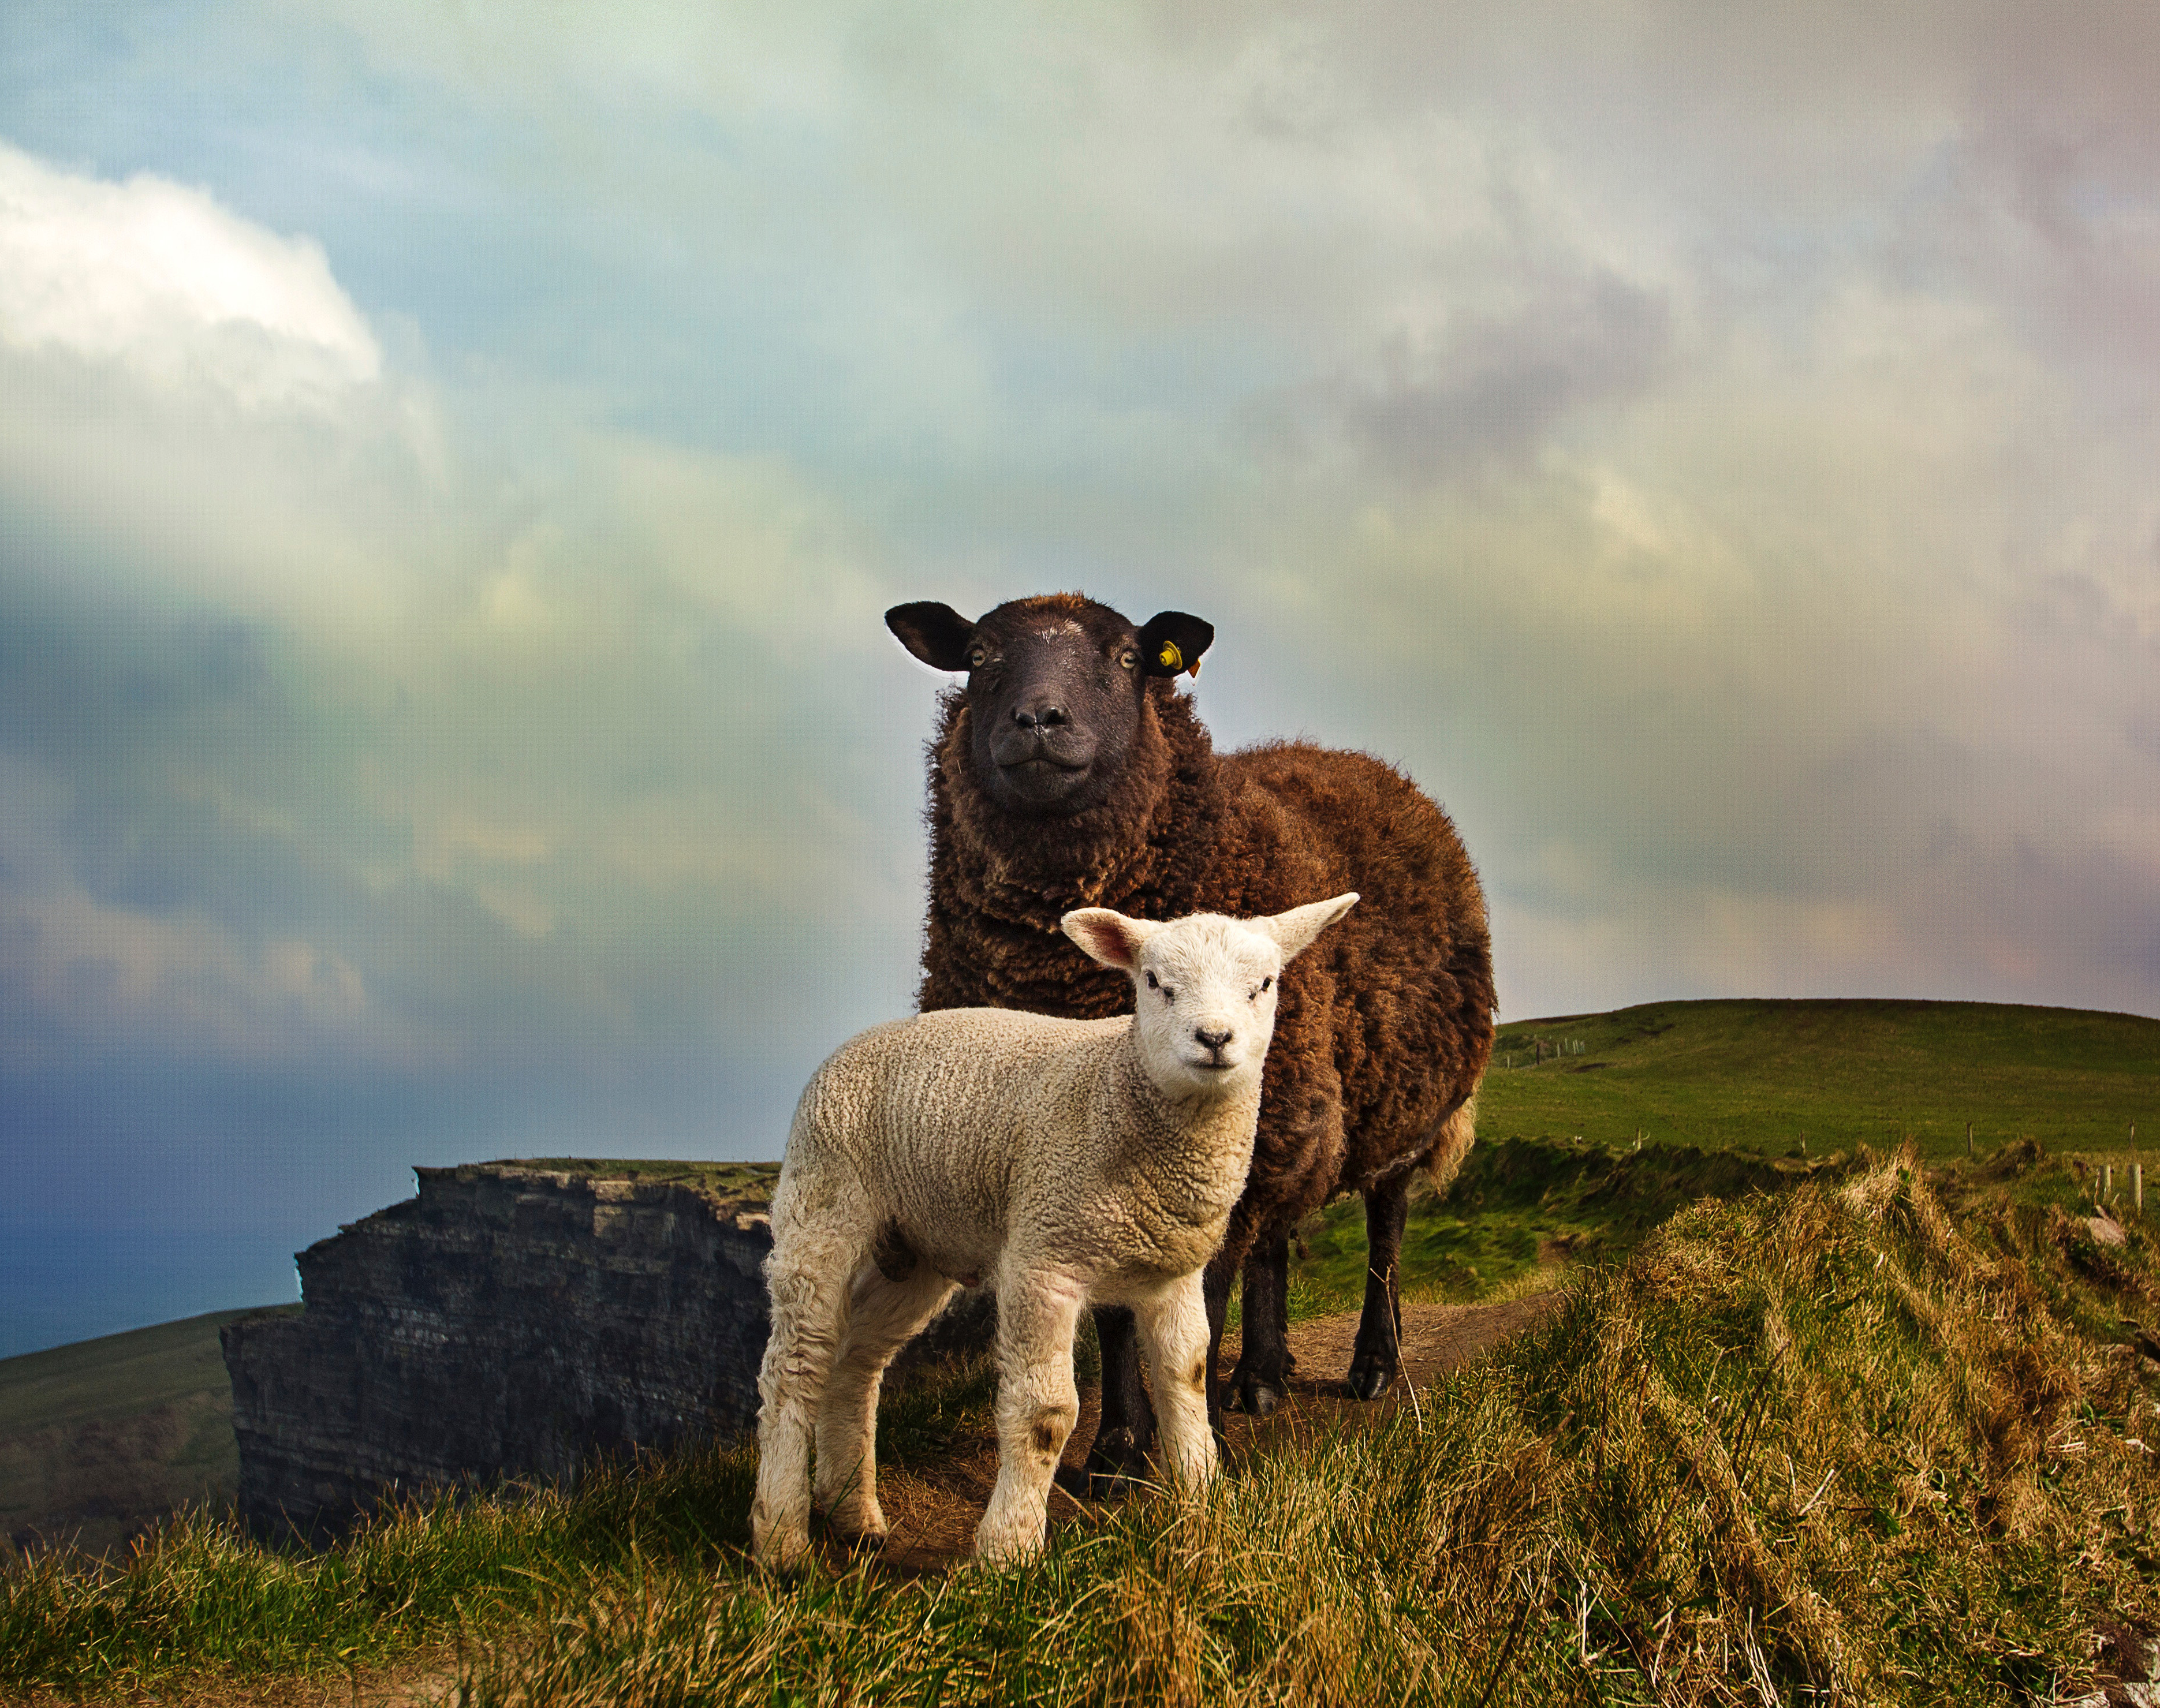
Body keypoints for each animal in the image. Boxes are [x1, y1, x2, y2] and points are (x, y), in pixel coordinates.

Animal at [743, 894, 1348, 1580]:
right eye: (1154, 982)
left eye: (1264, 984)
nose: (1215, 1039)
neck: (1119, 1092)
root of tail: (857, 1041)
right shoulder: (1044, 1257)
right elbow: (1046, 1416)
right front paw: (1009, 1550)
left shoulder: (1172, 1272)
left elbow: (1187, 1375)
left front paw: (1202, 1501)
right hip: (823, 1198)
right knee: (796, 1364)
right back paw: (783, 1540)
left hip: (918, 1247)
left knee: (856, 1361)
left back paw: (854, 1514)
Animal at [885, 591, 1494, 1485]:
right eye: (980, 656)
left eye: (1128, 658)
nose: (1038, 719)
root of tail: (1368, 764)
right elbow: (1117, 1314)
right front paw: (1115, 1449)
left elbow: (1193, 1301)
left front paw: (1178, 1445)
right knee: (1277, 1237)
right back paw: (1262, 1378)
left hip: (1395, 1105)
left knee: (1384, 1226)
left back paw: (1373, 1366)